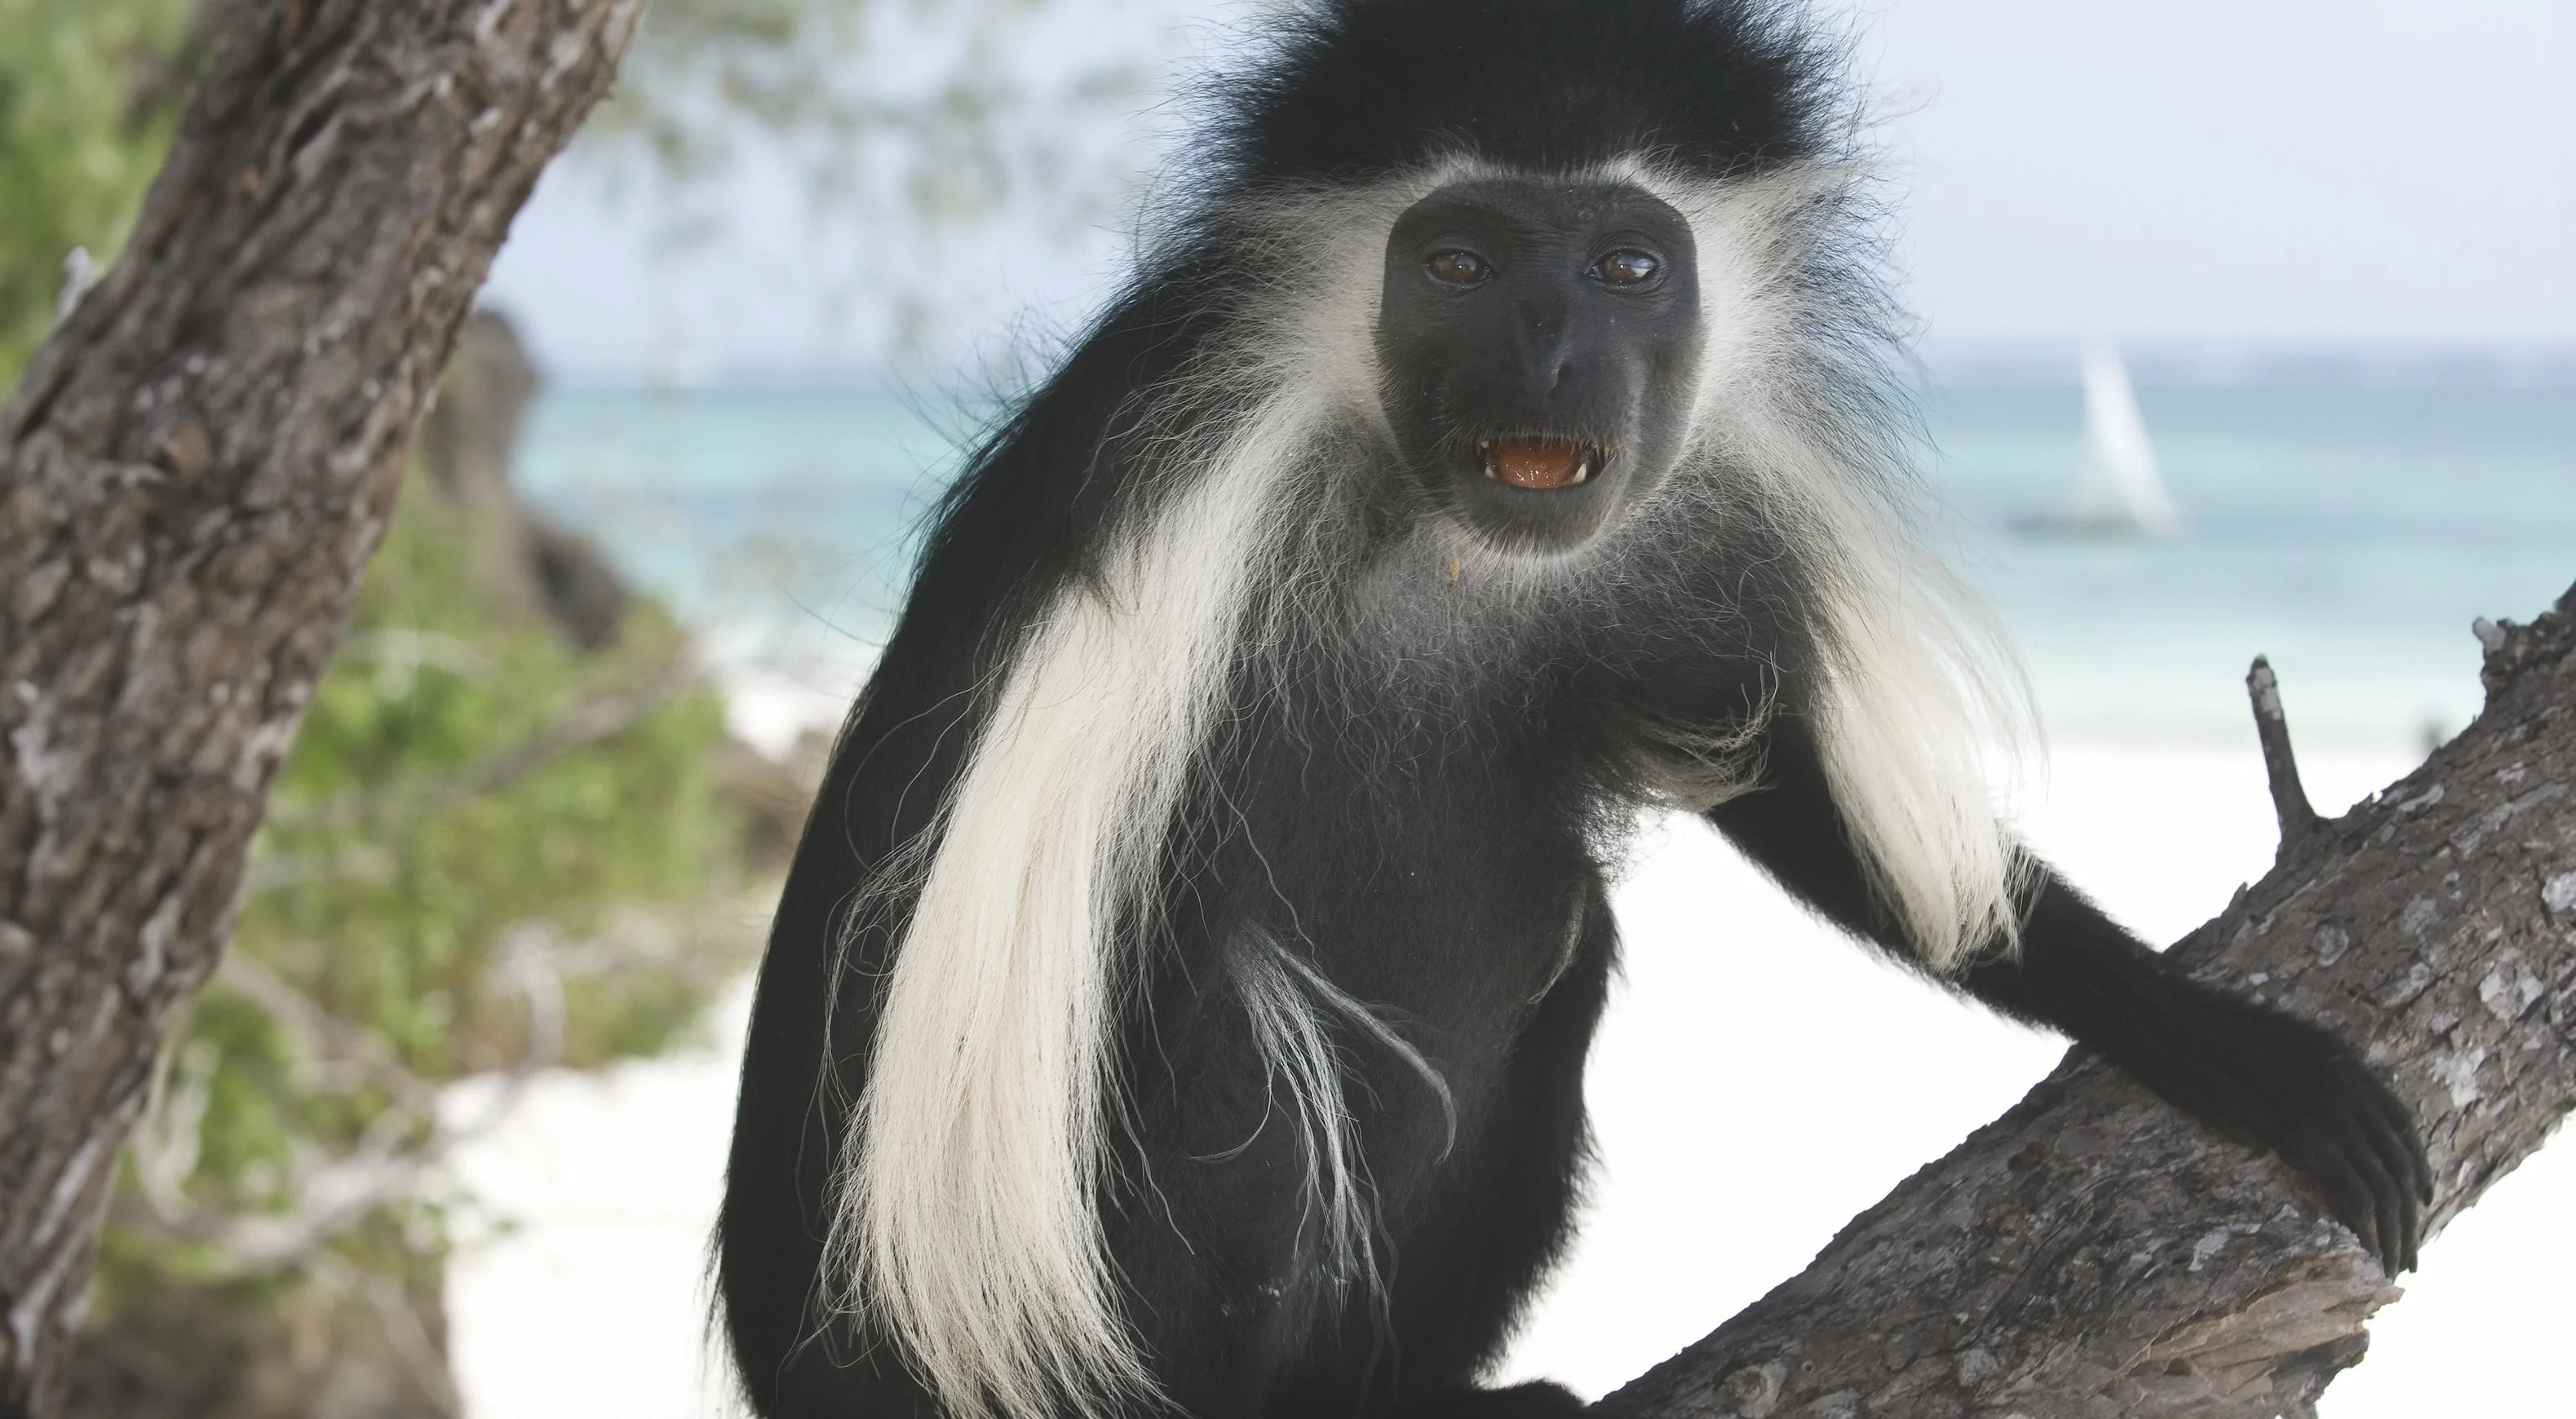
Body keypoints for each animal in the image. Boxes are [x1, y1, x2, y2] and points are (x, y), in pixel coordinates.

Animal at [716, 2, 2431, 1416]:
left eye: (1623, 263)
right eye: (1459, 262)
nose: (1546, 350)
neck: (1445, 541)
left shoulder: (1687, 539)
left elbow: (1792, 786)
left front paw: (2194, 1031)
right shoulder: (1171, 487)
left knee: (1555, 949)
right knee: (1226, 1036)